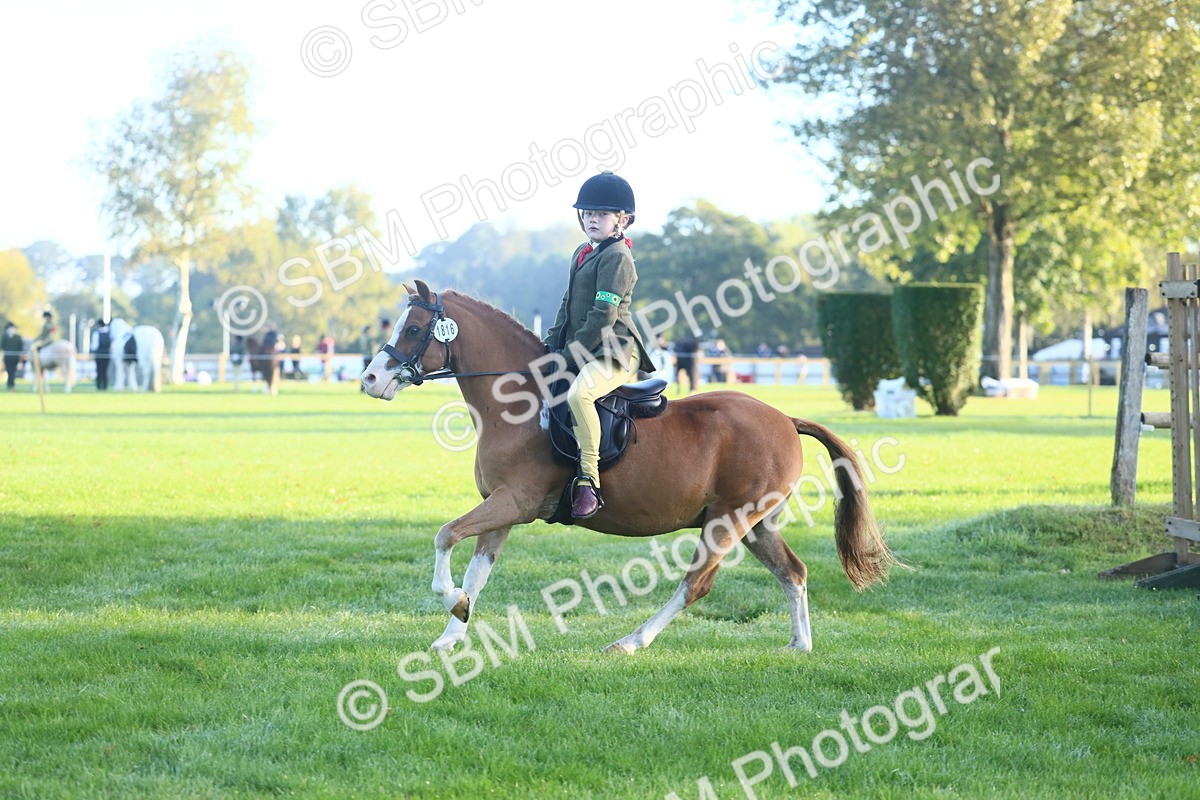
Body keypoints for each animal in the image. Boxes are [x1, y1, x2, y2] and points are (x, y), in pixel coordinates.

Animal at [360, 281, 898, 655]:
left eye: (413, 329)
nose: (369, 380)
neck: (519, 402)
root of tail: (785, 418)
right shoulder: (501, 509)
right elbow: (476, 572)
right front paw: (452, 631)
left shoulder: (514, 502)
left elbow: (445, 536)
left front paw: (448, 598)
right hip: (756, 523)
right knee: (793, 573)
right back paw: (799, 645)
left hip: (728, 522)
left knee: (696, 584)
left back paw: (631, 642)